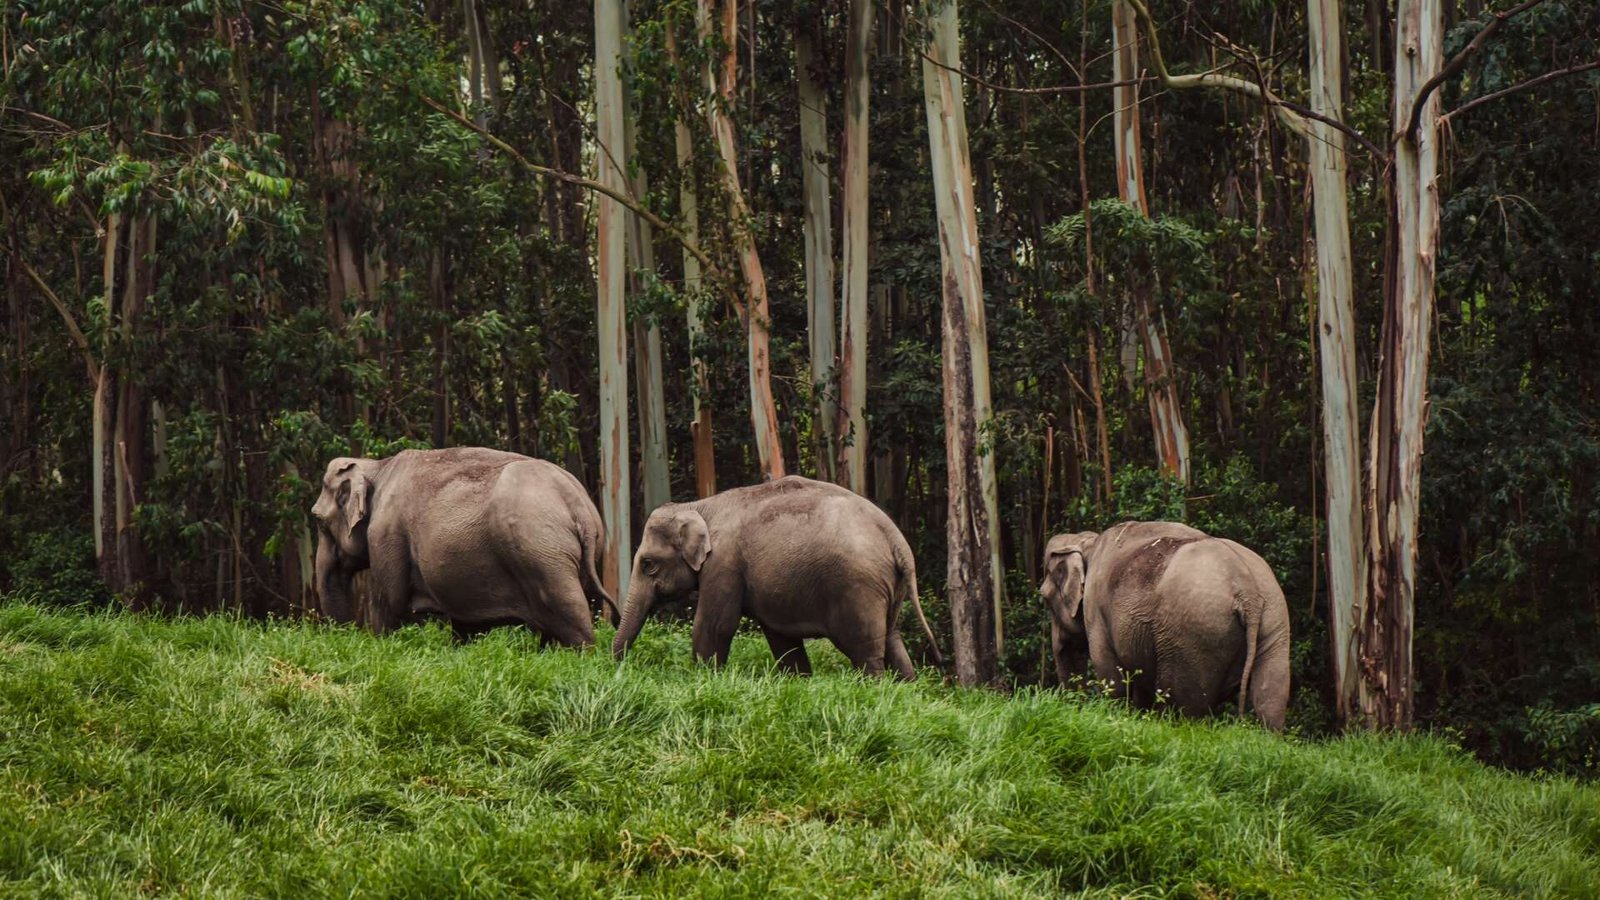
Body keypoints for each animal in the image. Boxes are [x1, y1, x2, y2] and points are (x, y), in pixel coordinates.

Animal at [311, 447, 616, 646]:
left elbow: (390, 605)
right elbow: (465, 624)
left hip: (543, 554)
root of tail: (579, 507)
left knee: (570, 615)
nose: (343, 637)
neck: (378, 466)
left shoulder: (386, 535)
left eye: (318, 521)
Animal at [610, 475, 941, 679]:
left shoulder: (724, 564)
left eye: (648, 565)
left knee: (865, 650)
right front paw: (799, 681)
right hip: (888, 587)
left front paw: (703, 677)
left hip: (858, 589)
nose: (618, 667)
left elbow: (715, 626)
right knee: (893, 640)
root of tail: (896, 539)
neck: (699, 505)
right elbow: (781, 638)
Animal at [1039, 521, 1291, 730]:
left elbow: (1112, 677)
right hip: (1274, 619)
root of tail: (1247, 592)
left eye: (1043, 597)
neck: (1088, 541)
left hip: (1193, 635)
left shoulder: (1096, 612)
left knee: (1183, 705)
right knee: (1271, 696)